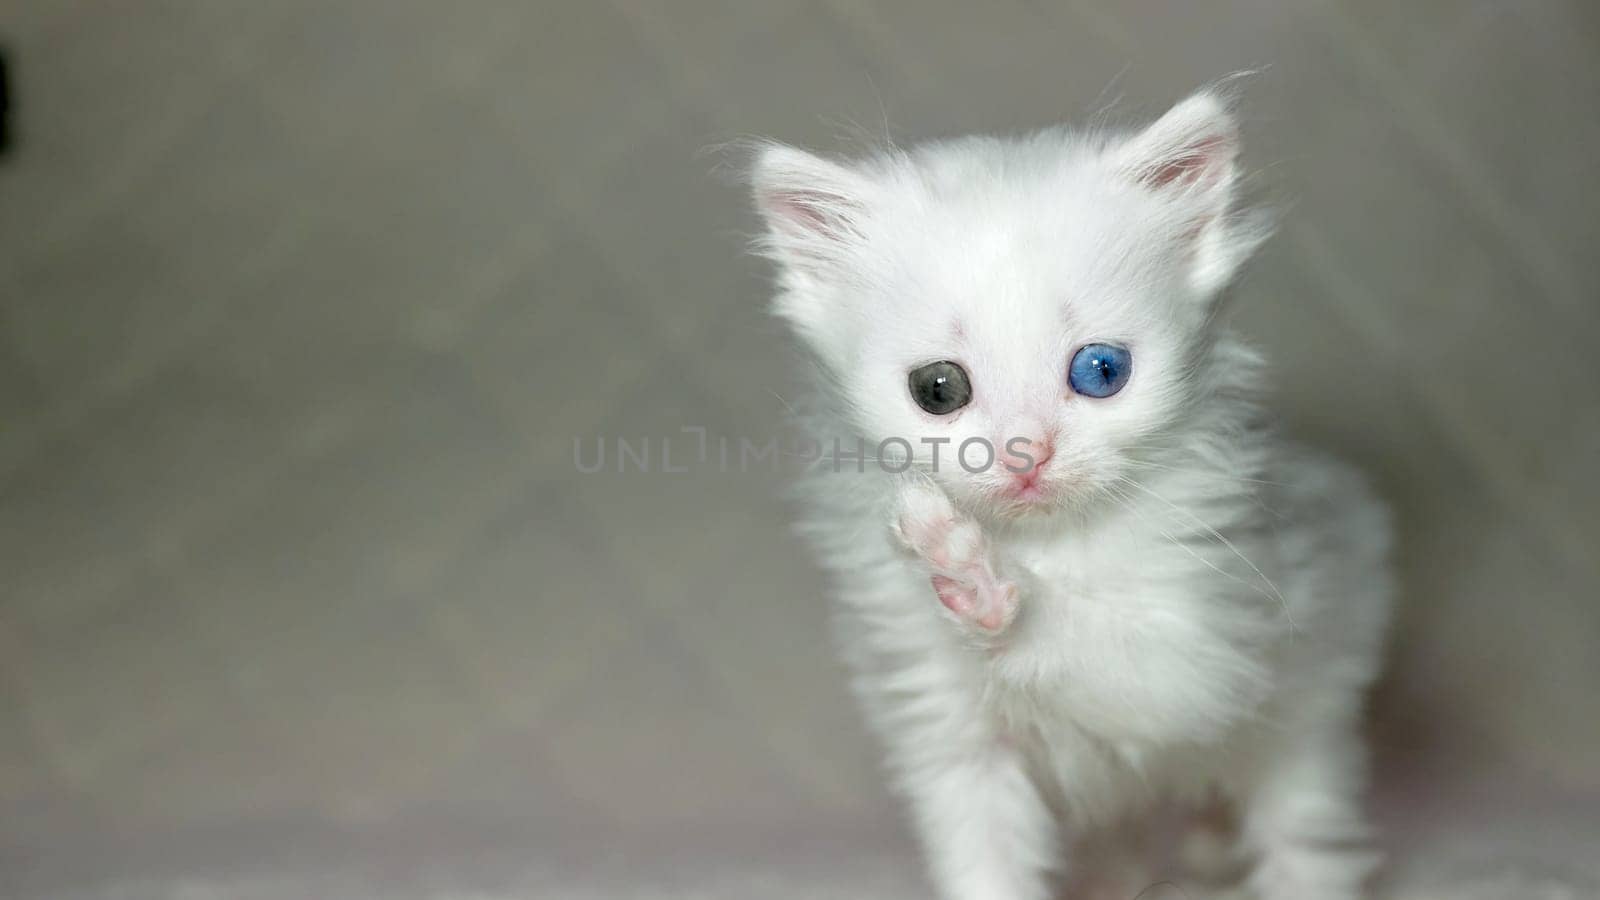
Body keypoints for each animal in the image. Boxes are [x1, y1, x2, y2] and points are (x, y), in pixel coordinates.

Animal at [745, 85, 1388, 896]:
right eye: (938, 389)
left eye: (1101, 371)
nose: (1027, 453)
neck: (1046, 542)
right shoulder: (948, 737)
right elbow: (984, 861)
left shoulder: (1206, 653)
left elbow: (1091, 646)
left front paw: (976, 578)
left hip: (1312, 709)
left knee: (1304, 838)